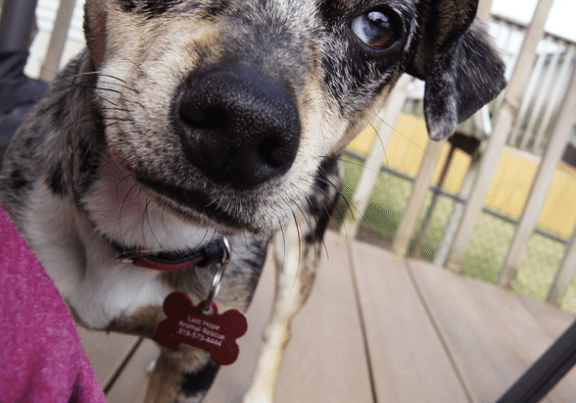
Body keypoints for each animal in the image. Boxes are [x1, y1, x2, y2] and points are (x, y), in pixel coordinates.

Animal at [0, 1, 504, 402]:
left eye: (379, 25)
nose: (244, 124)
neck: (140, 235)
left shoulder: (196, 363)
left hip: (303, 255)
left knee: (280, 329)